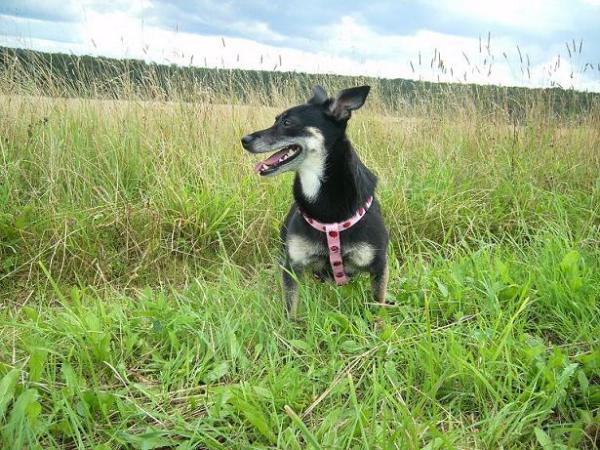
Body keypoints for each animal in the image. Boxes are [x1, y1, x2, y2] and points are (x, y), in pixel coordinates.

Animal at [241, 85, 389, 316]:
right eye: (276, 119)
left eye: (287, 122)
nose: (244, 140)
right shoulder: (293, 267)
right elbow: (290, 310)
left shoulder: (379, 267)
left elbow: (377, 309)